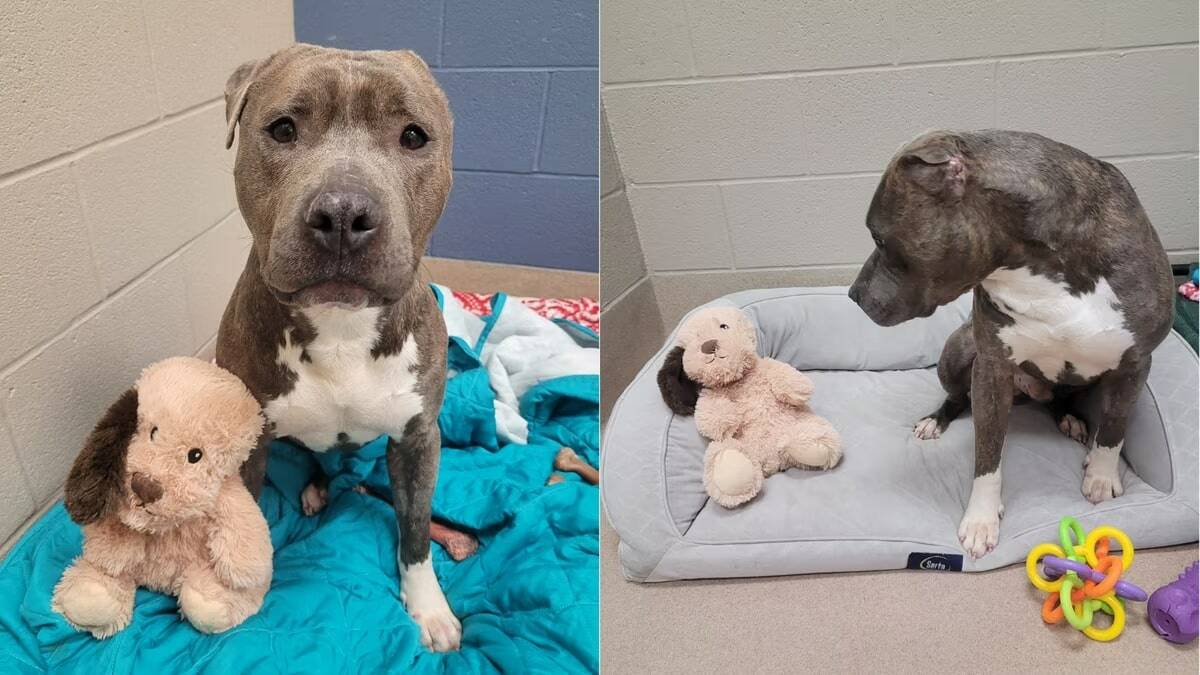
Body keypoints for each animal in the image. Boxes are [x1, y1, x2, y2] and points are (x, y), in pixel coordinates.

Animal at [213, 44, 460, 648]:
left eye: (414, 136)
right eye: (282, 129)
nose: (344, 213)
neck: (341, 326)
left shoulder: (418, 439)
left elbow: (416, 529)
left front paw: (429, 608)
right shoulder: (250, 446)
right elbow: (247, 521)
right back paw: (315, 488)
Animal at [849, 130, 1176, 557]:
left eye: (879, 238)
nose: (854, 294)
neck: (1040, 265)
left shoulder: (1135, 363)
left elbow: (1115, 426)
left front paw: (1102, 477)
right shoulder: (991, 367)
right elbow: (987, 453)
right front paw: (981, 521)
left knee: (1060, 400)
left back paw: (1070, 419)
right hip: (958, 353)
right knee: (957, 396)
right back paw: (935, 420)